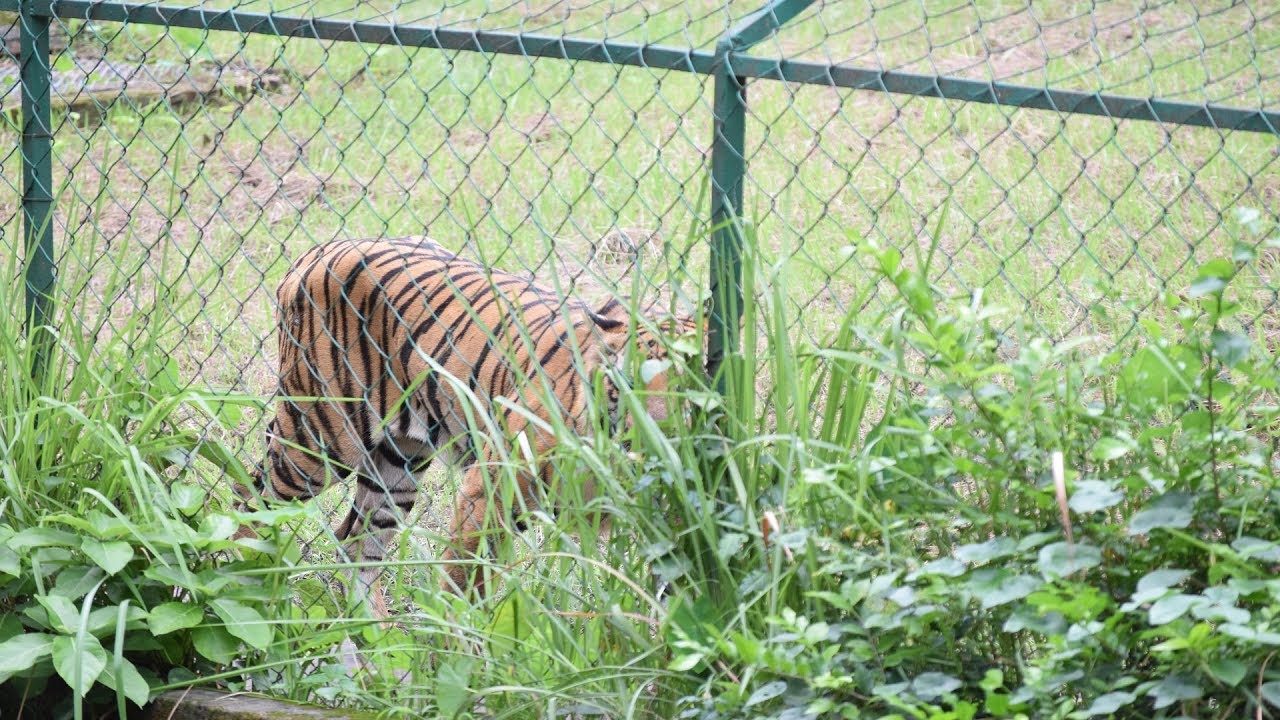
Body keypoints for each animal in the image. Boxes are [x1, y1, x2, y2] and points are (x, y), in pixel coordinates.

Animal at [235, 236, 702, 618]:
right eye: (625, 384)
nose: (651, 436)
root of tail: (316, 252)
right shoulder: (493, 490)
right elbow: (464, 587)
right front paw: (458, 662)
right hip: (320, 439)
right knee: (250, 497)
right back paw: (240, 591)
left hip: (398, 463)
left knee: (356, 547)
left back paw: (379, 648)